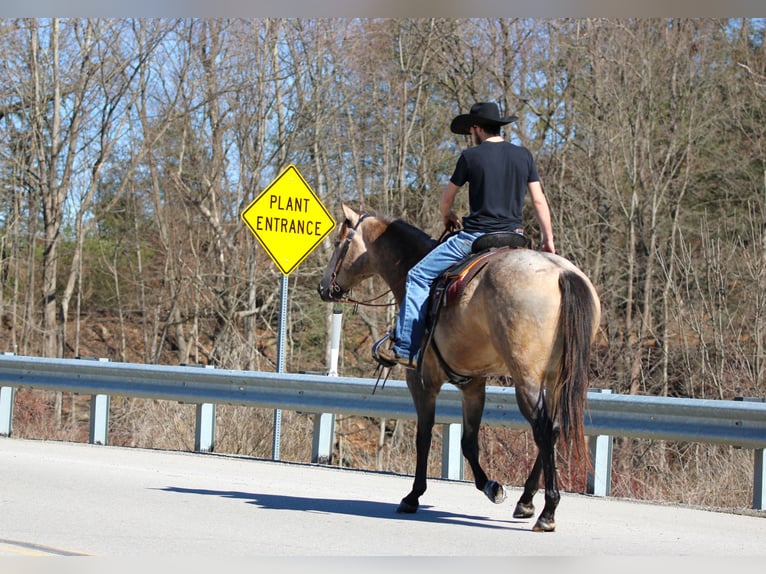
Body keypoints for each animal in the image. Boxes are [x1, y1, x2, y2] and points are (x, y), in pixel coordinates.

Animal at [317, 204, 601, 532]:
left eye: (338, 242)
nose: (323, 287)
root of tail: (561, 273)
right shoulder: (473, 384)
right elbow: (468, 442)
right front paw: (490, 486)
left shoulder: (422, 381)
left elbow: (424, 437)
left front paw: (413, 496)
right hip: (555, 380)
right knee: (552, 429)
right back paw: (527, 501)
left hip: (527, 379)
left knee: (542, 428)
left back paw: (547, 511)